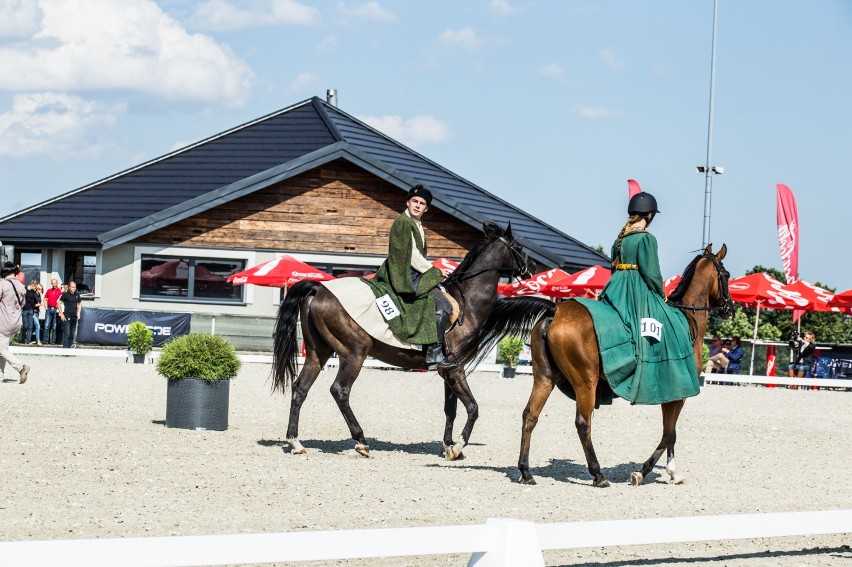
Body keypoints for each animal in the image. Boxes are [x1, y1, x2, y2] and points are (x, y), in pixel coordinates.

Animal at [272, 222, 532, 462]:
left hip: (318, 353)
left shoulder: (449, 371)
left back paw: (295, 442)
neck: (466, 302)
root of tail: (319, 289)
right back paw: (361, 441)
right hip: (354, 353)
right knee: (340, 390)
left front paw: (448, 445)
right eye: (519, 247)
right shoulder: (456, 369)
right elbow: (473, 408)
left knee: (300, 388)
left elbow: (451, 409)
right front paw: (457, 446)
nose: (531, 270)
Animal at [452, 244, 732, 488]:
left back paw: (526, 472)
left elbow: (670, 433)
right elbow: (669, 434)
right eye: (726, 275)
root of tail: (556, 310)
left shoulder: (674, 395)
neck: (687, 320)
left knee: (530, 416)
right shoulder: (677, 394)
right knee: (583, 423)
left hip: (545, 378)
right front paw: (648, 473)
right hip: (585, 382)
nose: (729, 308)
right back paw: (598, 475)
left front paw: (668, 473)